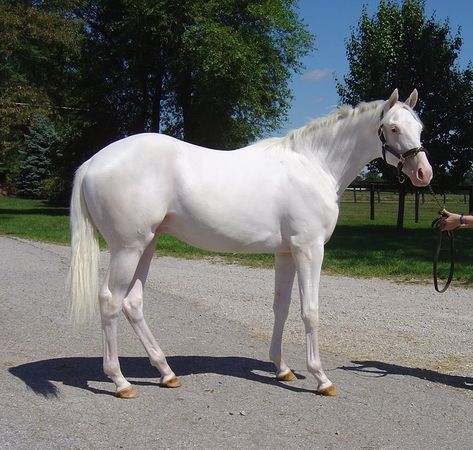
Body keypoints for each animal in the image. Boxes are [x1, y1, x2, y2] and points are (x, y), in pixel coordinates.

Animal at [69, 88, 432, 398]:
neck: (314, 165)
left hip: (148, 244)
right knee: (110, 301)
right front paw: (321, 378)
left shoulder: (286, 252)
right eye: (393, 128)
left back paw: (166, 373)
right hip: (128, 247)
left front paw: (283, 369)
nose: (424, 173)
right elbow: (310, 311)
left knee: (133, 303)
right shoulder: (309, 249)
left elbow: (281, 307)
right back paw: (120, 382)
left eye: (419, 127)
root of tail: (93, 162)